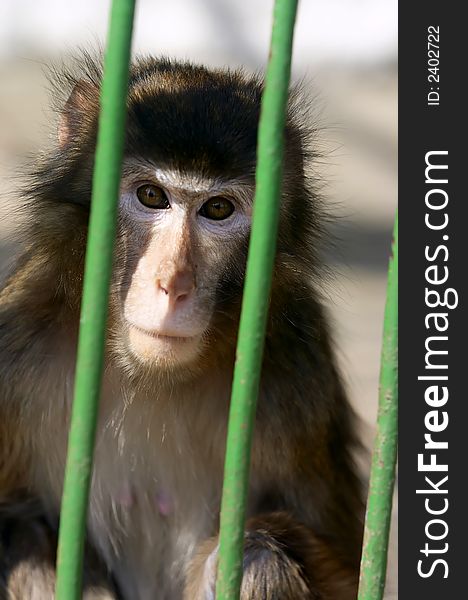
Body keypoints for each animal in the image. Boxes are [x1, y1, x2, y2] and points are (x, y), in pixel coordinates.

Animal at [0, 54, 364, 596]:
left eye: (217, 209)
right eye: (151, 196)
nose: (172, 284)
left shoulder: (299, 382)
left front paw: (226, 559)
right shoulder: (16, 345)